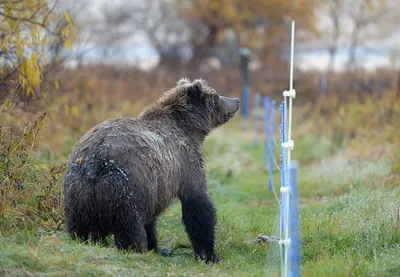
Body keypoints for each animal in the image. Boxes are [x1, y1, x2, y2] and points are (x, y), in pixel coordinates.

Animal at [62, 77, 238, 260]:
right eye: (216, 96)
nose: (236, 100)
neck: (189, 129)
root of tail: (95, 162)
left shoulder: (156, 186)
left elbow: (152, 221)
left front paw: (157, 247)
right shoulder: (184, 163)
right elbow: (197, 201)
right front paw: (209, 254)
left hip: (77, 193)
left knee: (79, 226)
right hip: (127, 188)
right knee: (130, 226)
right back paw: (137, 248)